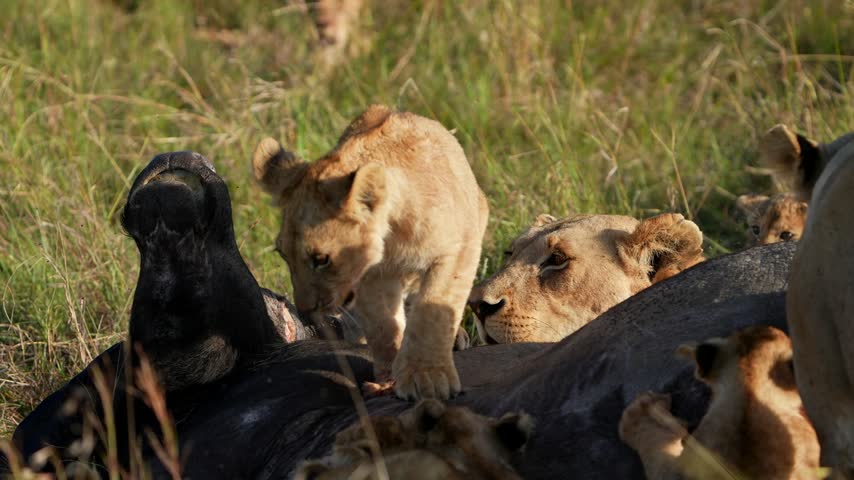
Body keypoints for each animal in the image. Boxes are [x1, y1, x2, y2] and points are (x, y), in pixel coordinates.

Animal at [253, 105, 489, 400]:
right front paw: (389, 377)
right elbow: (383, 327)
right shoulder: (373, 277)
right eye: (284, 257)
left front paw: (428, 378)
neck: (391, 237)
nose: (305, 309)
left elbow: (432, 313)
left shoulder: (458, 249)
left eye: (321, 260)